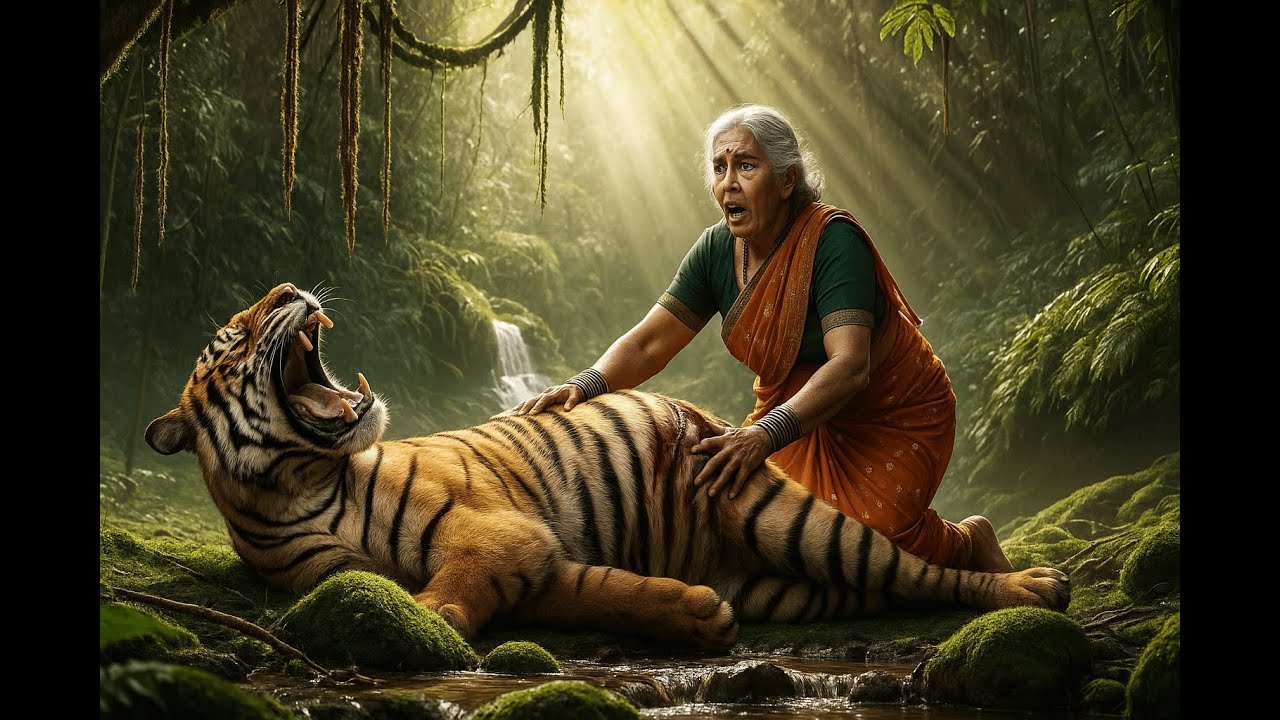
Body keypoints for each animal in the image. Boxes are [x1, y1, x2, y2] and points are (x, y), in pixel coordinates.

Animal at [146, 282, 1069, 650]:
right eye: (233, 334)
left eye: (249, 316)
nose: (288, 291)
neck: (303, 484)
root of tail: (701, 414)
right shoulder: (538, 558)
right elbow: (602, 591)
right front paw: (696, 615)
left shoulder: (499, 535)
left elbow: (444, 599)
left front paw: (421, 627)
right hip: (791, 583)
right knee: (890, 583)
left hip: (793, 517)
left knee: (923, 568)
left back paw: (1032, 587)